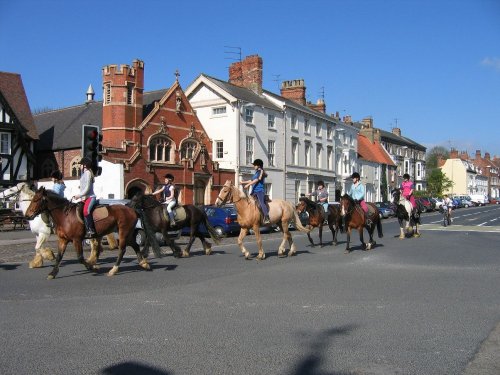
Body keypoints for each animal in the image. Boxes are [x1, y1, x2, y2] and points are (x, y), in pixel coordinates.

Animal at [24, 187, 153, 280]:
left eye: (36, 200)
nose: (27, 215)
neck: (64, 215)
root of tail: (132, 209)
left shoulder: (76, 239)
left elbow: (80, 258)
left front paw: (92, 266)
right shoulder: (63, 240)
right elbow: (59, 256)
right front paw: (52, 273)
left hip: (123, 232)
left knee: (122, 250)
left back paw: (113, 270)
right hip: (128, 233)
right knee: (135, 246)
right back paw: (144, 264)